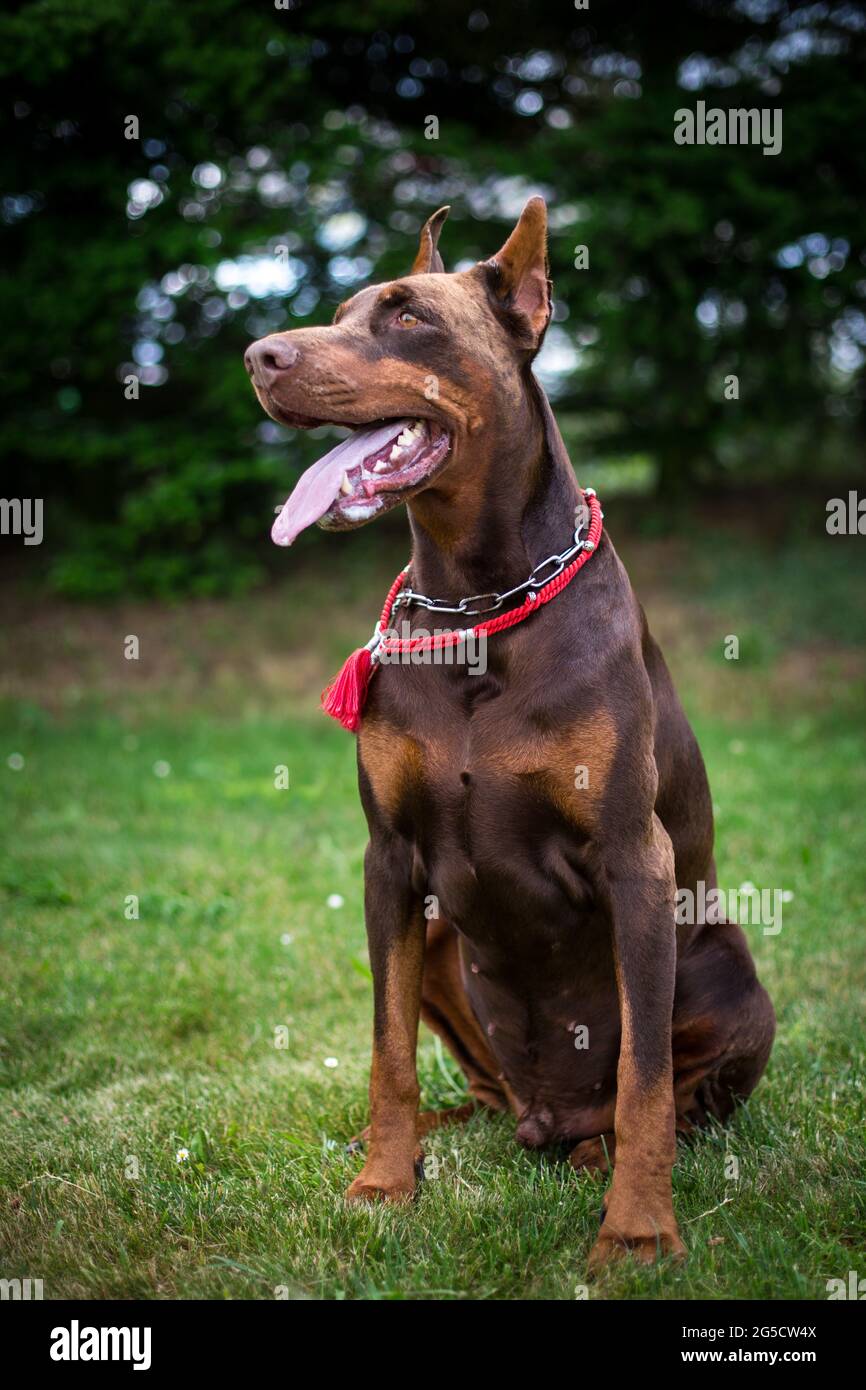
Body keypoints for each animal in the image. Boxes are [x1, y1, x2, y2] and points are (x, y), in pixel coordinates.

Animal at [246, 198, 778, 1273]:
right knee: (480, 1091)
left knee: (669, 1098)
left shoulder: (634, 860)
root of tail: (546, 1117)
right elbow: (387, 1051)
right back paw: (441, 1133)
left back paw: (600, 1156)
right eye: (344, 312)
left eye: (409, 317)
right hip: (447, 942)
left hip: (734, 973)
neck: (477, 602)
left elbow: (646, 1081)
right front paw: (384, 1182)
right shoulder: (388, 858)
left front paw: (638, 1231)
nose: (258, 356)